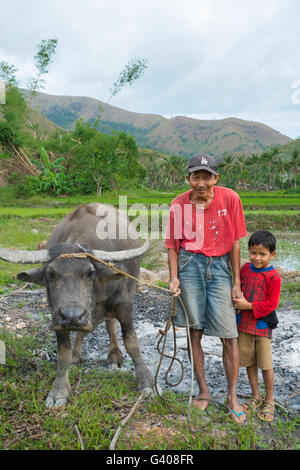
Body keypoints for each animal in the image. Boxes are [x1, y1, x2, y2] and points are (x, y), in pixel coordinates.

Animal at [0, 204, 154, 406]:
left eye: (90, 273)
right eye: (50, 274)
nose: (72, 315)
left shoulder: (124, 305)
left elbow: (132, 343)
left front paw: (146, 383)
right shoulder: (57, 317)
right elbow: (63, 353)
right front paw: (58, 391)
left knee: (110, 326)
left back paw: (114, 355)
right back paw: (76, 356)